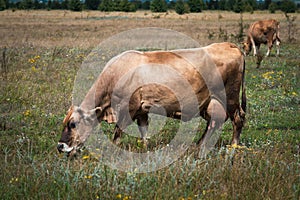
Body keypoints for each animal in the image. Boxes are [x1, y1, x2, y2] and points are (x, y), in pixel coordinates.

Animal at [57, 43, 247, 157]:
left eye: (73, 124)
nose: (60, 146)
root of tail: (228, 45)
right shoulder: (142, 110)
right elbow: (144, 132)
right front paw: (145, 150)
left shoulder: (128, 108)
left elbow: (117, 133)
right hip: (209, 103)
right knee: (214, 122)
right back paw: (198, 146)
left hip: (230, 96)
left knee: (237, 119)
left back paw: (233, 147)